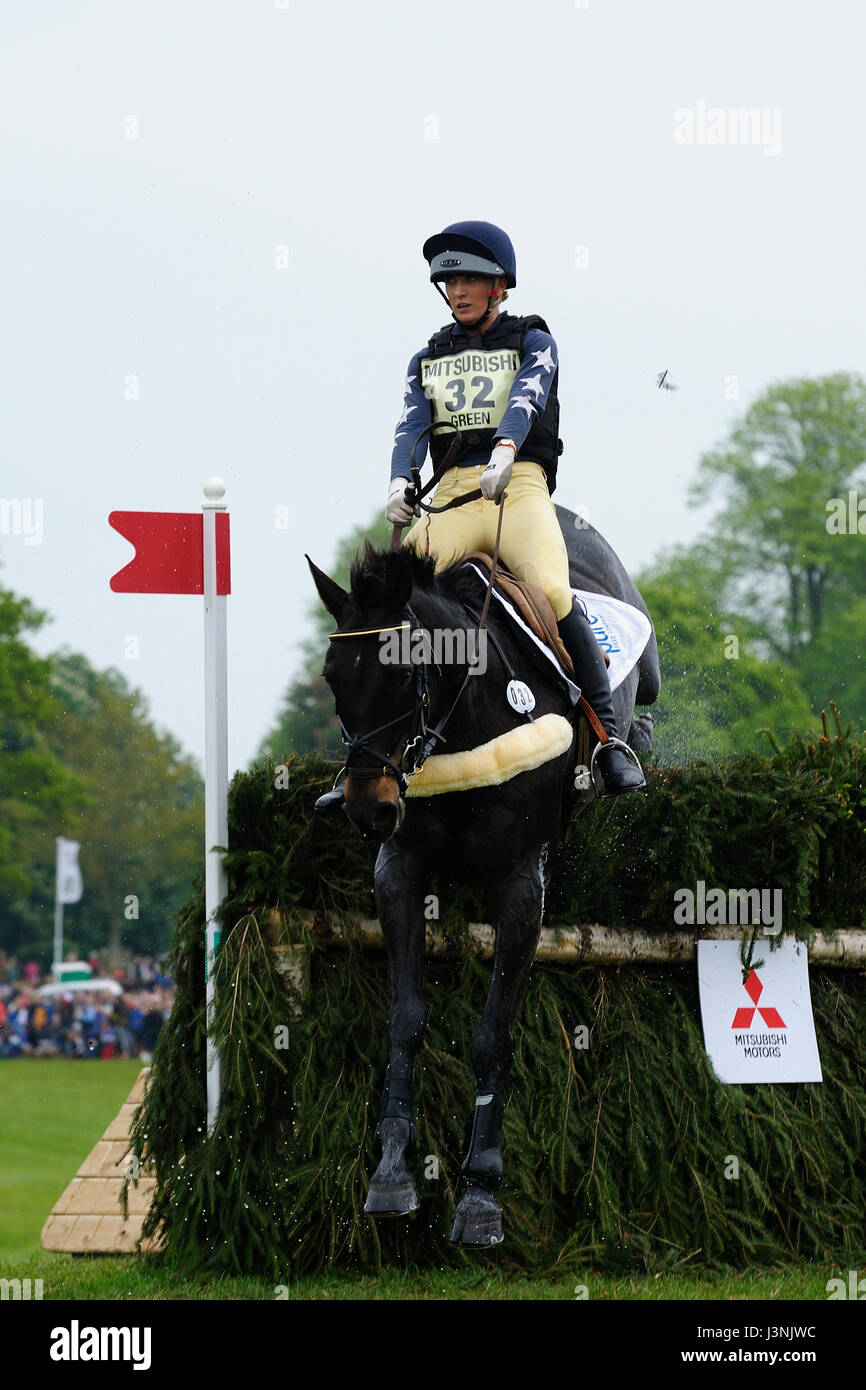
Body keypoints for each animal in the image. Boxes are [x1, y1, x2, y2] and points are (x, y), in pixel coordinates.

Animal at [308, 505, 661, 1245]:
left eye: (404, 675)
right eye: (331, 675)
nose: (368, 809)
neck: (465, 720)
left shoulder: (521, 883)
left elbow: (493, 1034)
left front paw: (480, 1192)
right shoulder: (400, 869)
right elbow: (405, 1018)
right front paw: (391, 1171)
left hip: (640, 666)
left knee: (641, 707)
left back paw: (626, 748)